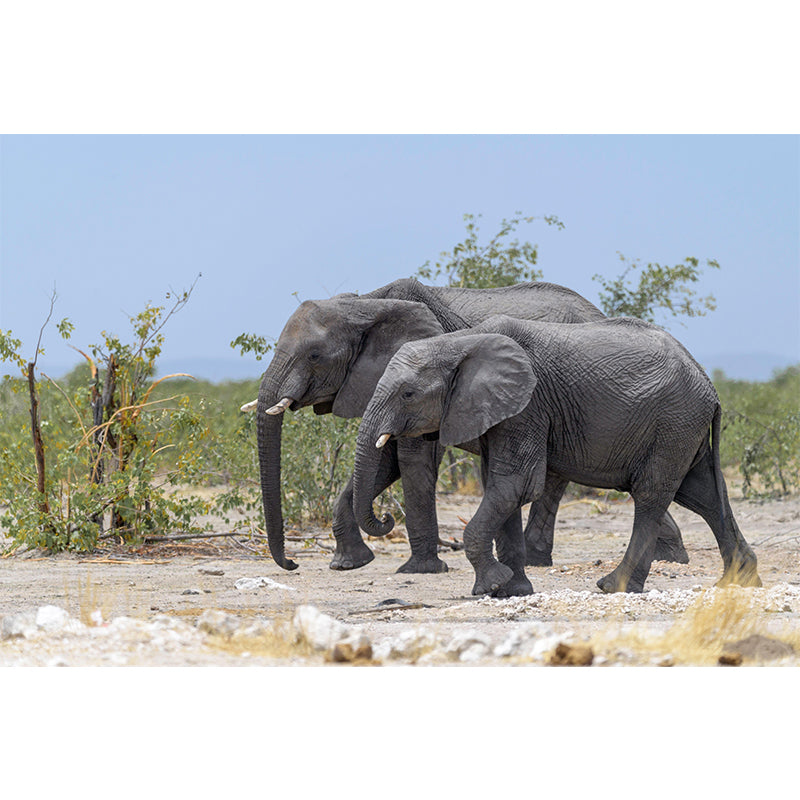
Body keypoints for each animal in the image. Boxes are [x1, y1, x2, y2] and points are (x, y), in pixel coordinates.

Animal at [250, 277, 688, 574]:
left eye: (314, 355)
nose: (291, 564)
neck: (366, 304)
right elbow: (384, 460)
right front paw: (348, 564)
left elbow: (412, 460)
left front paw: (421, 570)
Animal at [351, 314, 761, 596]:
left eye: (407, 394)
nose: (387, 518)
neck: (458, 342)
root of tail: (708, 383)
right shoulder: (502, 412)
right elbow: (500, 488)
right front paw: (512, 590)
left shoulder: (528, 406)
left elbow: (515, 485)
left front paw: (490, 586)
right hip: (683, 428)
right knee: (702, 495)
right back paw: (738, 582)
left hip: (674, 422)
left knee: (651, 496)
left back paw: (613, 586)